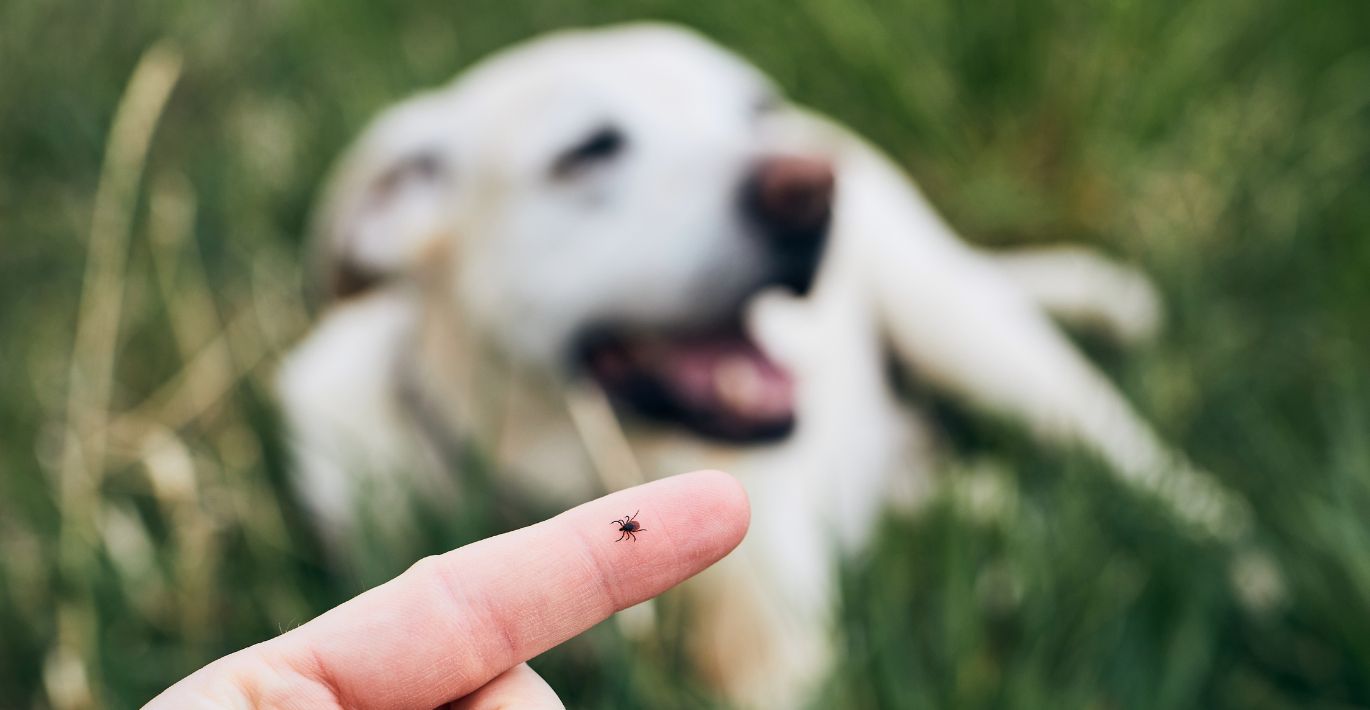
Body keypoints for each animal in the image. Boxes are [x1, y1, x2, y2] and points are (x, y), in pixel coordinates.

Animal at [275, 22, 1243, 707]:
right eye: (588, 150)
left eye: (754, 111)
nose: (811, 187)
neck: (571, 467)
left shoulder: (781, 655)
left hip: (972, 334)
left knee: (1156, 475)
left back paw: (1248, 573)